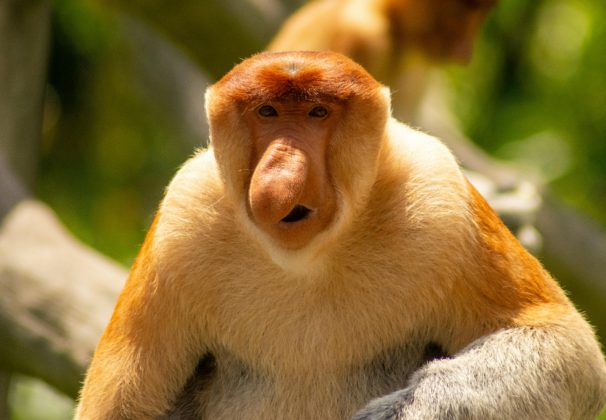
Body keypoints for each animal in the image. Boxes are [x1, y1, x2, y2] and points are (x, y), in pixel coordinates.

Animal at [76, 50, 606, 418]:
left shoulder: (440, 195)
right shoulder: (182, 218)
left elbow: (566, 347)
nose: (282, 172)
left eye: (318, 113)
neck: (310, 259)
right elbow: (119, 404)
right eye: (267, 112)